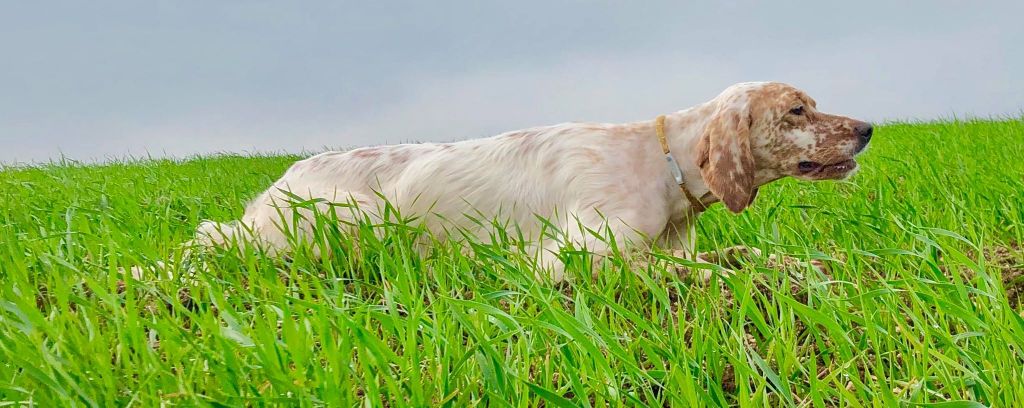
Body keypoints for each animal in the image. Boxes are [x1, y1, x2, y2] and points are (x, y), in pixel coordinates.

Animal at [193, 81, 872, 282]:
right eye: (797, 110)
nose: (867, 128)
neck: (664, 163)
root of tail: (282, 178)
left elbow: (747, 253)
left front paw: (821, 261)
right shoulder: (572, 256)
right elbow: (700, 271)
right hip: (351, 218)